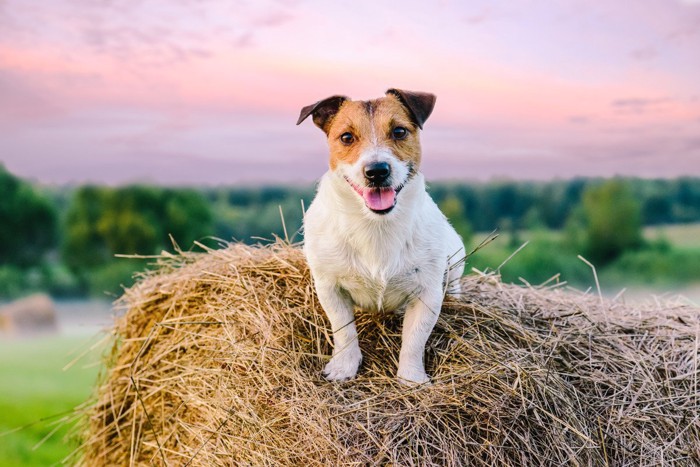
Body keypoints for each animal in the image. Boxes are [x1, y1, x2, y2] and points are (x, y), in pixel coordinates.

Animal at [296, 89, 464, 386]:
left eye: (399, 131)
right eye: (346, 137)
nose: (377, 171)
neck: (376, 226)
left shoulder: (427, 293)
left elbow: (414, 340)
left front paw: (411, 378)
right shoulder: (329, 287)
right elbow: (344, 331)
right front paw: (344, 367)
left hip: (456, 258)